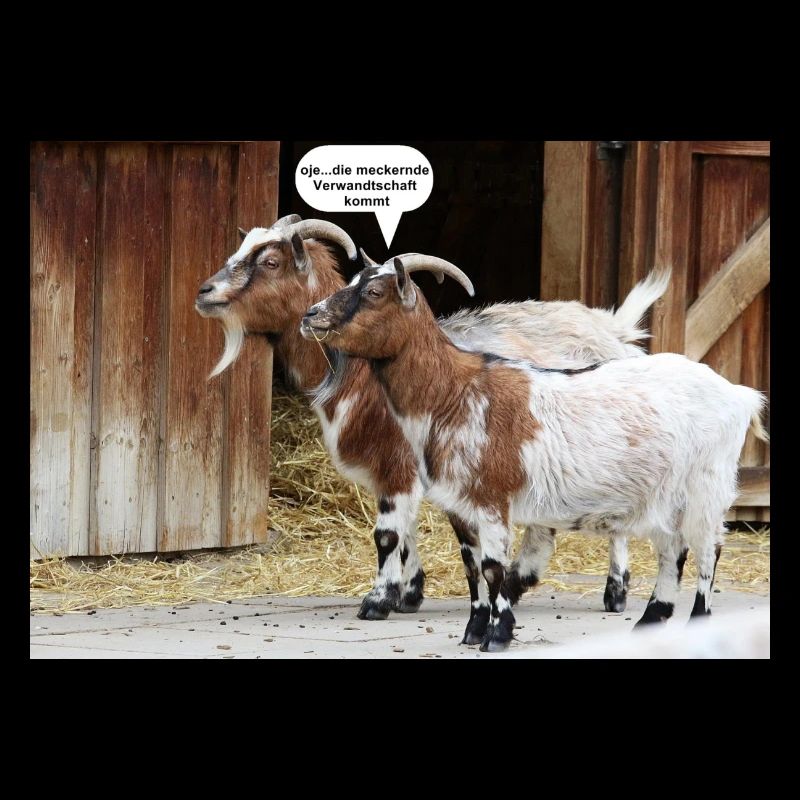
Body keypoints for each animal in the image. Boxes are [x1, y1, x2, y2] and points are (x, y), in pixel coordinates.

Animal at [195, 215, 668, 621]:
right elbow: (406, 532)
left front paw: (378, 600)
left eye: (270, 262)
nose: (205, 291)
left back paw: (614, 590)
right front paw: (410, 593)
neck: (362, 376)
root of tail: (614, 331)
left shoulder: (399, 463)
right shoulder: (396, 468)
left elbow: (387, 533)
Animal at [301, 257, 768, 651]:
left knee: (708, 548)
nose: (311, 315)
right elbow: (472, 566)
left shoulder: (493, 498)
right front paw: (474, 630)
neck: (455, 392)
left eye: (374, 292)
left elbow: (494, 568)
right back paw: (651, 620)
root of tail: (739, 394)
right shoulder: (461, 503)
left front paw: (498, 635)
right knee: (673, 549)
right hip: (665, 490)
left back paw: (695, 620)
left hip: (708, 482)